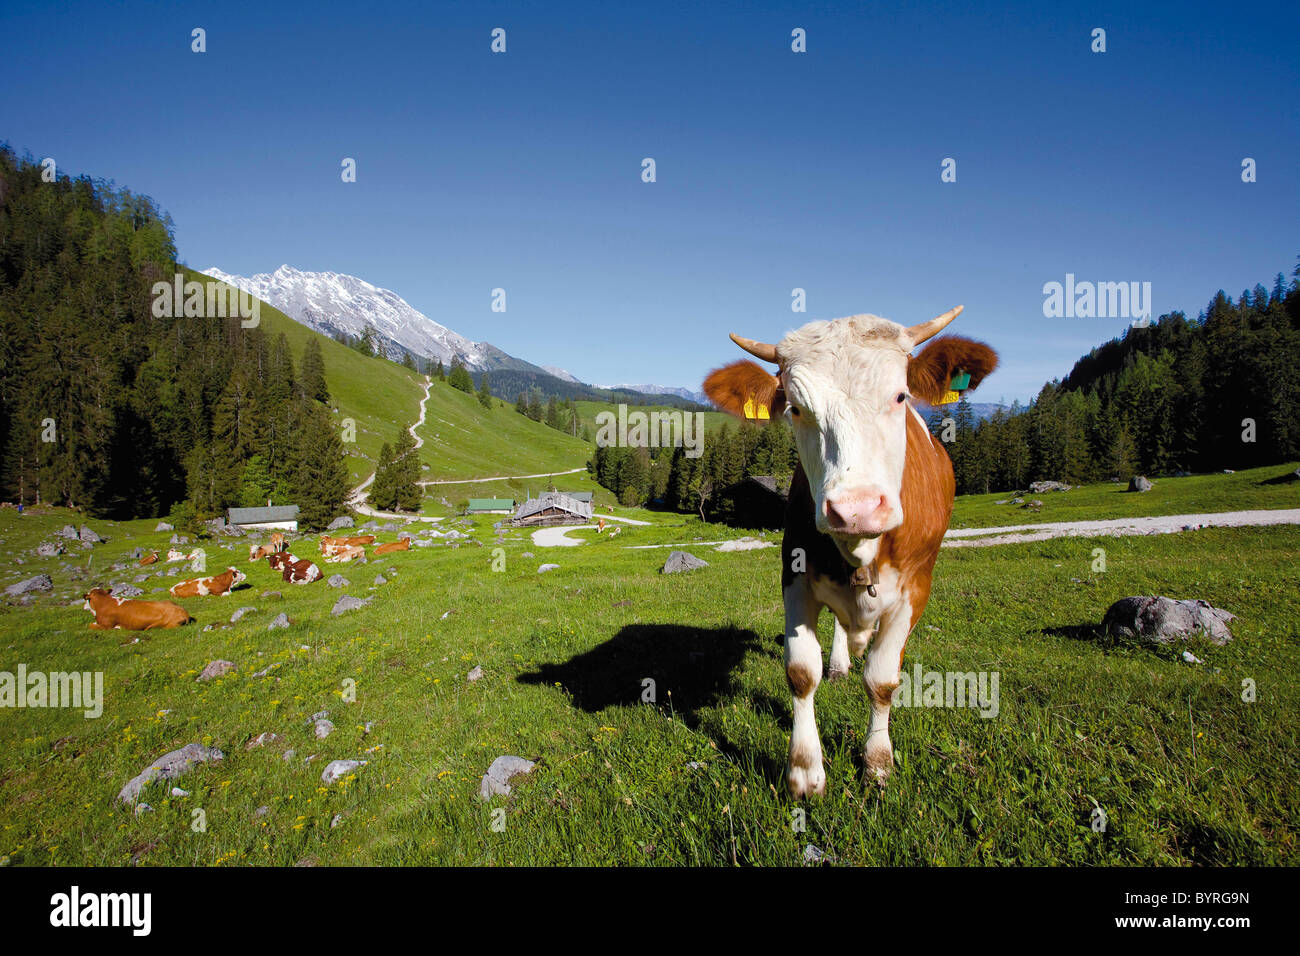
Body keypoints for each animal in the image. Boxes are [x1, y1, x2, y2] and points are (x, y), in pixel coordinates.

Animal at [702, 304, 993, 790]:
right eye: (796, 409)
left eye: (900, 396)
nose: (855, 508)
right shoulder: (795, 577)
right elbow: (801, 673)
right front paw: (804, 771)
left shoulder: (915, 590)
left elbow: (882, 679)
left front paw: (877, 761)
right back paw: (840, 661)